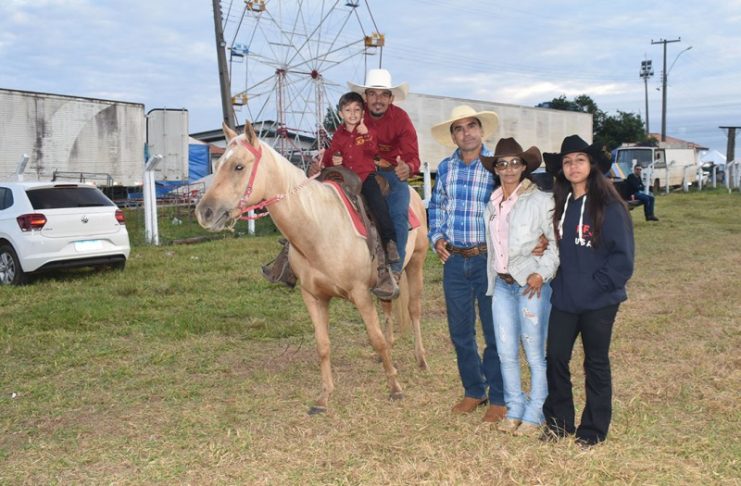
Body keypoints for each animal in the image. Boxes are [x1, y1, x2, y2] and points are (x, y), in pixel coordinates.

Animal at [195, 122, 429, 414]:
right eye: (217, 166)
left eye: (238, 166)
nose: (204, 212)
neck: (319, 227)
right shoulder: (313, 296)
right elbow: (323, 344)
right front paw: (324, 396)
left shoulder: (361, 294)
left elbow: (375, 338)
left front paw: (395, 387)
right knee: (388, 309)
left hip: (417, 263)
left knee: (414, 309)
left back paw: (421, 359)